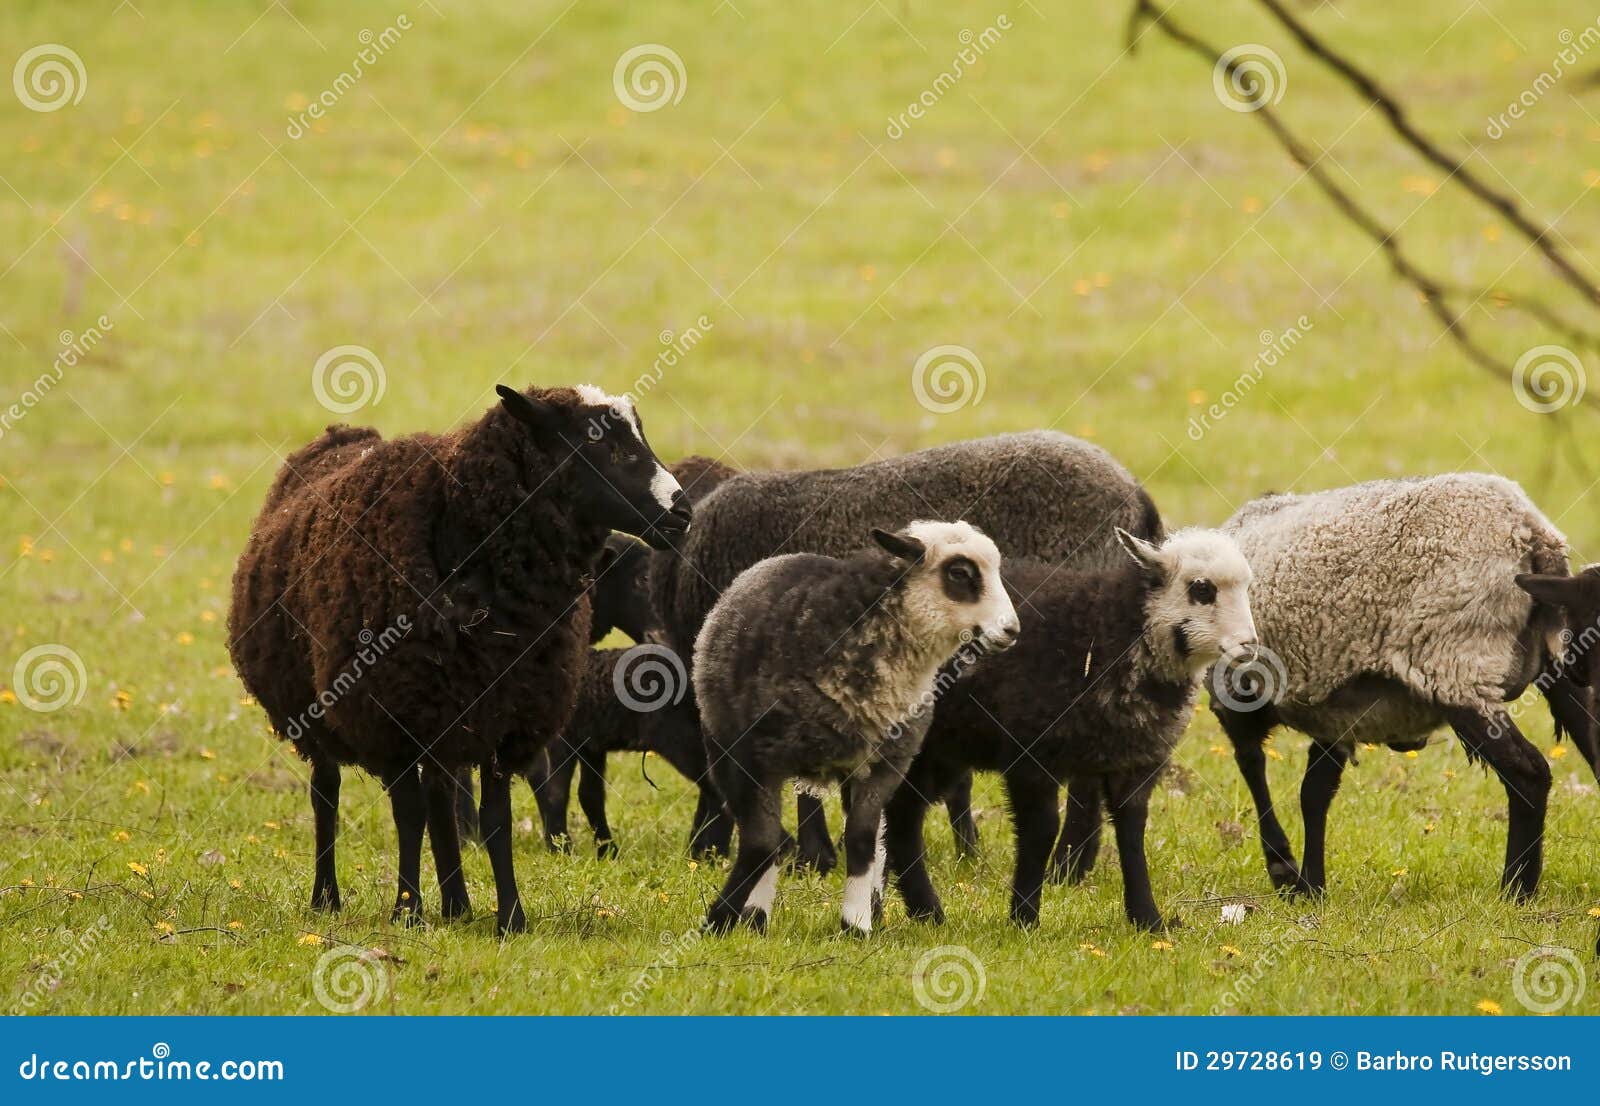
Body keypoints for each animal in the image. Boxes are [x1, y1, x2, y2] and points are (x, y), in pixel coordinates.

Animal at [227, 383, 692, 935]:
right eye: (596, 440)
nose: (683, 513)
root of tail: (343, 436)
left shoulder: (503, 718)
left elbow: (494, 821)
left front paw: (510, 917)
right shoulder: (392, 717)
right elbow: (407, 814)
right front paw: (407, 911)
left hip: (445, 711)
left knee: (439, 799)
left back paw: (457, 904)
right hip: (316, 710)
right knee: (328, 793)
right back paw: (328, 898)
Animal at [694, 521, 1020, 935]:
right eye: (960, 573)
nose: (1011, 630)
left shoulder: (884, 766)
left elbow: (862, 838)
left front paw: (856, 923)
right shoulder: (754, 762)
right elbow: (761, 844)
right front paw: (719, 920)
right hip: (722, 750)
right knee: (765, 837)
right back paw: (756, 916)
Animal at [886, 529, 1257, 931]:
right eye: (1202, 589)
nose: (1249, 646)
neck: (1104, 627)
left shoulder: (1135, 761)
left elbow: (1132, 834)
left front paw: (1147, 918)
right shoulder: (1030, 755)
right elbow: (1041, 830)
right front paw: (1024, 918)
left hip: (942, 750)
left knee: (901, 816)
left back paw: (923, 911)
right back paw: (921, 907)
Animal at [1081, 473, 1593, 905]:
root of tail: (1532, 534)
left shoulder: (1238, 696)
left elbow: (1254, 768)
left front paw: (1285, 870)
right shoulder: (1336, 708)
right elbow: (1314, 793)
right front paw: (1312, 883)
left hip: (1455, 663)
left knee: (1528, 772)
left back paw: (1517, 889)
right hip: (1561, 666)